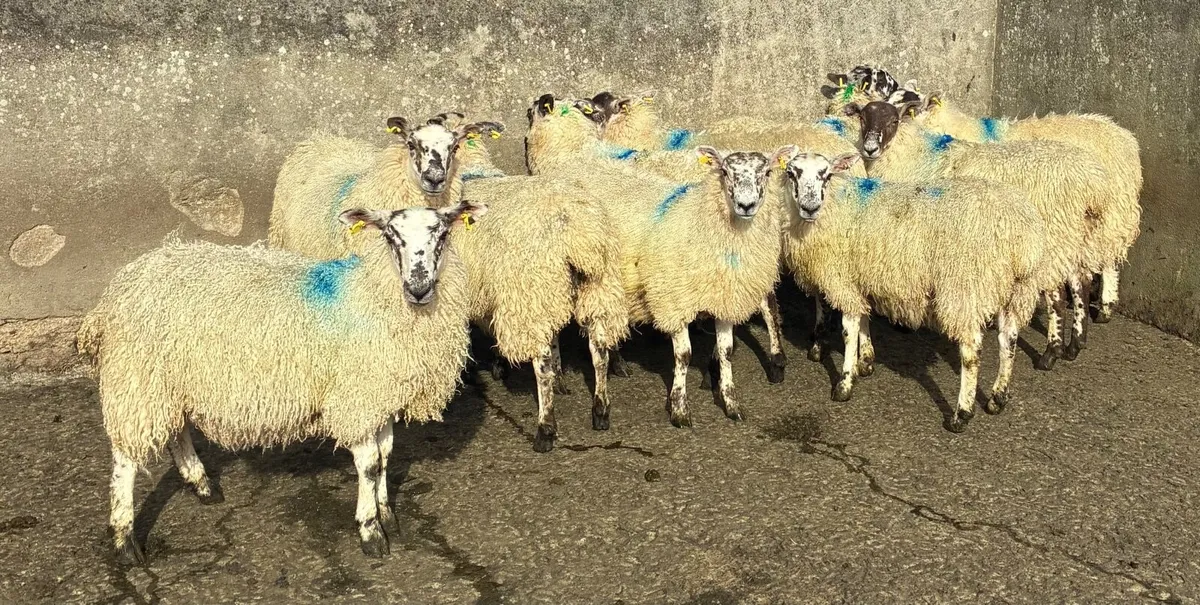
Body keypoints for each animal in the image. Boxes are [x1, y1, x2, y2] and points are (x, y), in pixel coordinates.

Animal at [77, 202, 485, 564]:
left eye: (443, 234)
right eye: (391, 236)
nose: (418, 287)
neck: (370, 293)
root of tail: (122, 282)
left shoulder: (377, 395)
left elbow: (385, 455)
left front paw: (387, 514)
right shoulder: (354, 397)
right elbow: (369, 464)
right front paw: (370, 531)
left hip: (170, 379)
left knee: (177, 431)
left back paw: (201, 485)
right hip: (138, 378)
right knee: (126, 459)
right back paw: (125, 541)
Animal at [526, 94, 791, 426]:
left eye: (765, 172)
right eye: (725, 173)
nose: (747, 205)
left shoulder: (723, 295)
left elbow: (727, 350)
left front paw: (730, 401)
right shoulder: (673, 298)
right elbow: (683, 355)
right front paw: (680, 408)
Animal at [779, 151, 1045, 432]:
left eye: (827, 174)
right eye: (791, 173)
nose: (810, 206)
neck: (837, 205)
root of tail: (1021, 236)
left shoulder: (843, 281)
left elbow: (848, 330)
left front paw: (845, 383)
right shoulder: (864, 277)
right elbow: (864, 318)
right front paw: (866, 360)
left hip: (965, 288)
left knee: (971, 352)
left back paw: (961, 414)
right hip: (1017, 290)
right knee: (1009, 339)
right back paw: (997, 398)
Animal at [844, 99, 1113, 370]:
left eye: (894, 121)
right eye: (862, 118)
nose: (870, 149)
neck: (913, 154)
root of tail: (1094, 184)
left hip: (1055, 240)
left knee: (1058, 294)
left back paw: (1051, 354)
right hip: (1077, 239)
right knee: (1082, 282)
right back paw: (1074, 346)